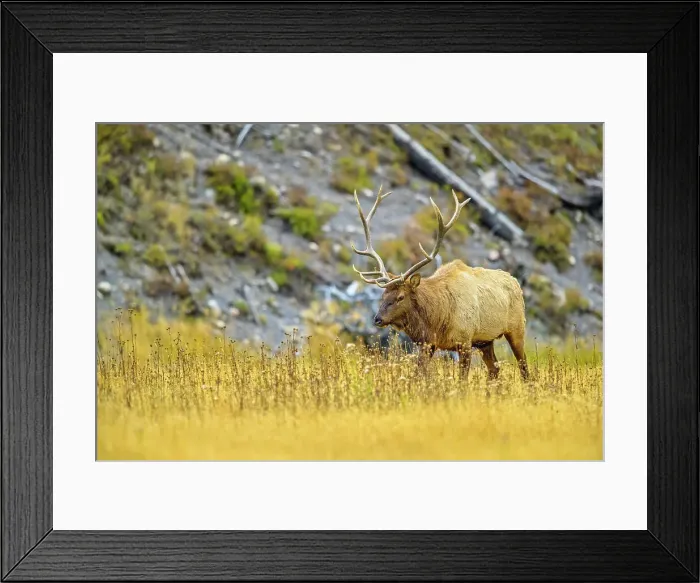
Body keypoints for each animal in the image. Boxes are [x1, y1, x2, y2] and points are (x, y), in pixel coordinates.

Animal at [351, 186, 529, 381]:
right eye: (383, 295)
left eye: (400, 297)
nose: (378, 318)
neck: (437, 319)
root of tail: (516, 282)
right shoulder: (428, 344)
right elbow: (419, 373)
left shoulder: (465, 341)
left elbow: (462, 380)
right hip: (485, 340)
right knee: (495, 369)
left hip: (516, 328)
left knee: (524, 367)